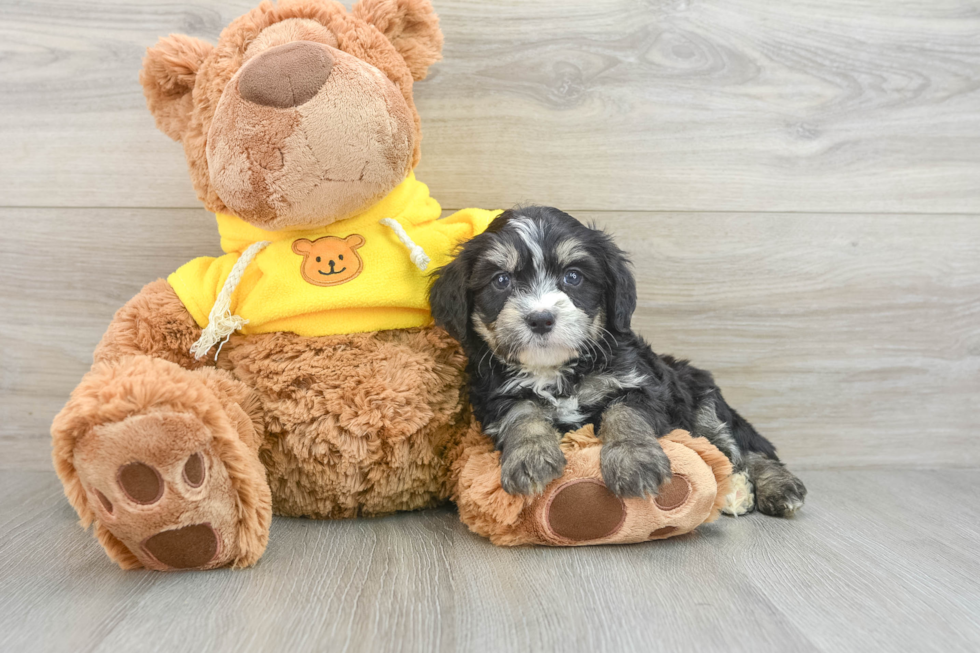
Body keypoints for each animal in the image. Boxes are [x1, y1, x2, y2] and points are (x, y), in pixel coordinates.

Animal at [432, 206, 808, 516]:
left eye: (573, 277)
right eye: (501, 280)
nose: (540, 319)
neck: (558, 370)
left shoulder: (638, 385)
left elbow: (625, 413)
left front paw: (634, 460)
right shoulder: (497, 398)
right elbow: (522, 416)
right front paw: (530, 458)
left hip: (704, 398)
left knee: (744, 449)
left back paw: (773, 487)